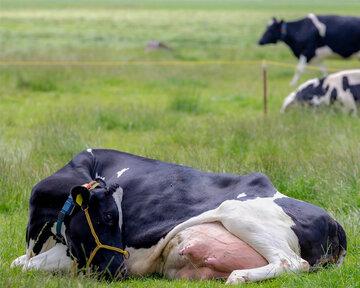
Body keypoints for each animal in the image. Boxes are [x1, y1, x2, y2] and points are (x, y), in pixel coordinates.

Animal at [12, 150, 348, 284]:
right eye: (107, 217)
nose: (119, 270)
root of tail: (334, 222)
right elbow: (18, 262)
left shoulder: (76, 255)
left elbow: (26, 266)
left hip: (239, 213)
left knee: (292, 262)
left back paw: (239, 277)